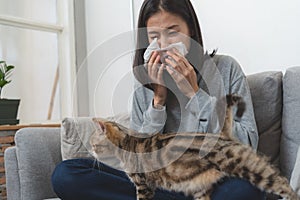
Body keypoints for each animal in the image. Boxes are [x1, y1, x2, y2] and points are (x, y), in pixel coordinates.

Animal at [89, 94, 300, 199]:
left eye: (93, 144)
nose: (90, 151)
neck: (128, 143)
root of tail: (222, 134)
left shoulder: (143, 185)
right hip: (201, 186)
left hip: (246, 166)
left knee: (283, 184)